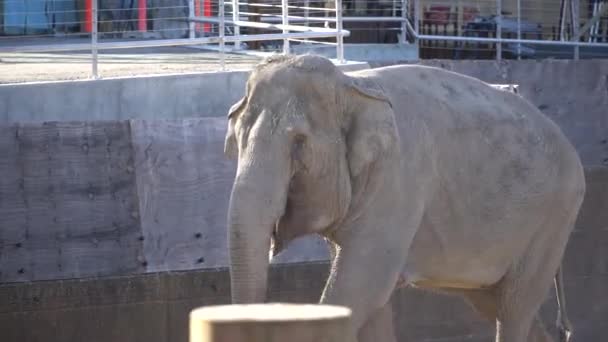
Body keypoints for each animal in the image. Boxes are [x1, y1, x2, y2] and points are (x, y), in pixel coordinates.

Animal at [223, 54, 584, 340]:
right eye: (237, 141)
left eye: (298, 143)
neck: (351, 85)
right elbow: (371, 300)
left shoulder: (398, 181)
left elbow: (359, 287)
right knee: (495, 303)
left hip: (555, 218)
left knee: (514, 308)